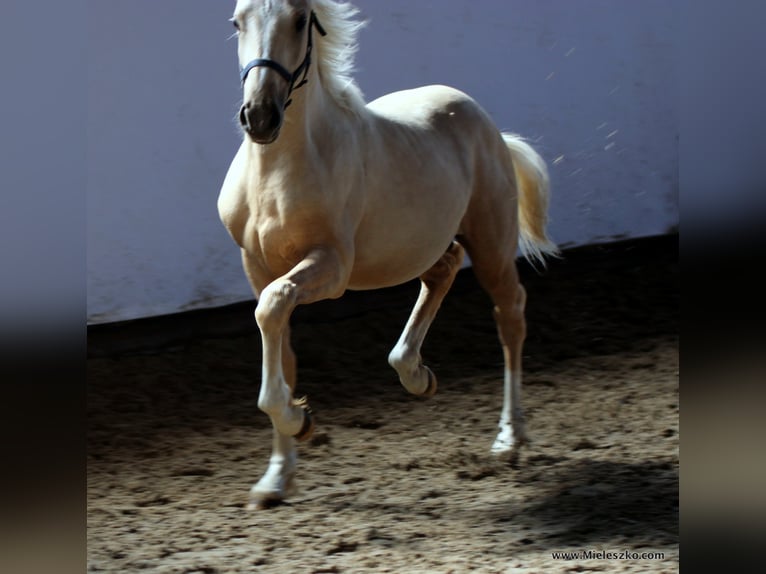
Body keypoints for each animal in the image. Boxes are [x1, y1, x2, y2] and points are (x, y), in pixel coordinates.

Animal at [218, 0, 558, 509]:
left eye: (299, 20)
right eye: (237, 21)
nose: (259, 117)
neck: (277, 173)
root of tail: (481, 119)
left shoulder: (332, 266)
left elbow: (274, 308)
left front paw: (299, 420)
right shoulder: (257, 266)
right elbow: (280, 343)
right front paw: (277, 477)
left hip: (491, 241)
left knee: (509, 314)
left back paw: (509, 438)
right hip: (426, 243)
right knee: (442, 273)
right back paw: (417, 374)